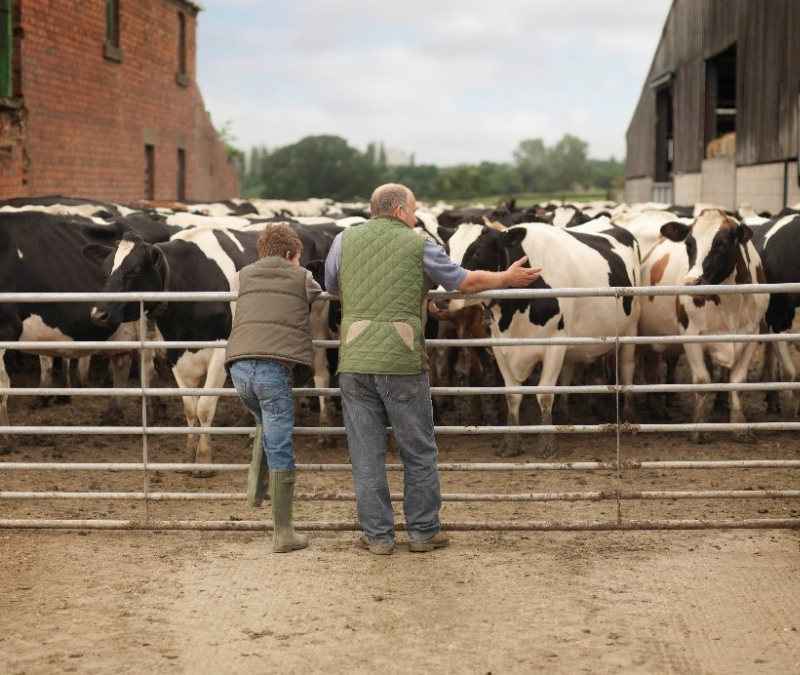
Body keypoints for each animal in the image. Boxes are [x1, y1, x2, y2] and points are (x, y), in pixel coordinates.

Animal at [446, 219, 640, 456]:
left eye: (477, 252)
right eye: (446, 249)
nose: (442, 298)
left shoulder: (554, 345)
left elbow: (545, 394)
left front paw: (547, 443)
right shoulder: (500, 347)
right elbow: (512, 395)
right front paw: (510, 442)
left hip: (631, 329)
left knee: (627, 369)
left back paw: (630, 417)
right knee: (567, 376)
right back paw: (564, 419)